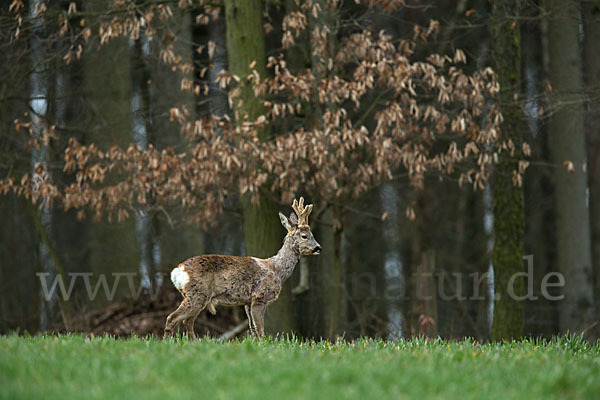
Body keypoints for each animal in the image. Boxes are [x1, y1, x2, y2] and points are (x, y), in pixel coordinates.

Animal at [164, 197, 322, 338]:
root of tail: (178, 271)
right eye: (304, 236)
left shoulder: (247, 302)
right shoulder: (259, 296)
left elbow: (253, 330)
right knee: (172, 318)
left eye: (312, 234)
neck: (277, 270)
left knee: (187, 321)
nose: (318, 248)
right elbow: (260, 330)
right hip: (197, 293)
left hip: (197, 296)